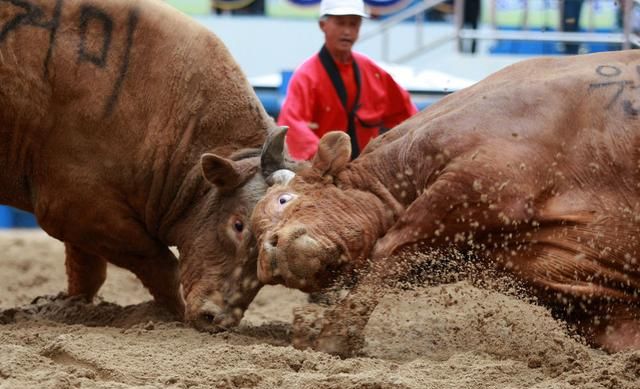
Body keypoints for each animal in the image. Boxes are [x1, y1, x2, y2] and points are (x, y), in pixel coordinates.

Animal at [0, 0, 292, 328]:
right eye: (238, 225)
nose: (217, 318)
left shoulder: (77, 213)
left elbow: (86, 267)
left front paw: (69, 305)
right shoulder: (77, 209)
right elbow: (162, 265)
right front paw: (174, 314)